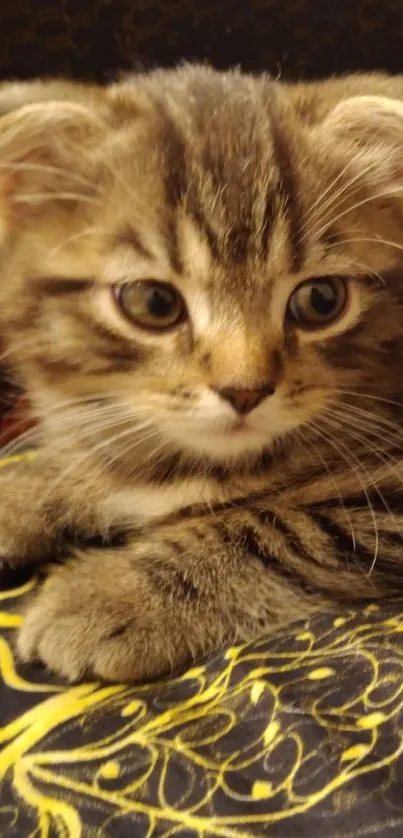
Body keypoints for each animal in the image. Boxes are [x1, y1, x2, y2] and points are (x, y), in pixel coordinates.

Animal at [0, 65, 403, 684]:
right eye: (153, 303)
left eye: (321, 300)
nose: (245, 390)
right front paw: (30, 490)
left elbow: (279, 526)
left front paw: (115, 595)